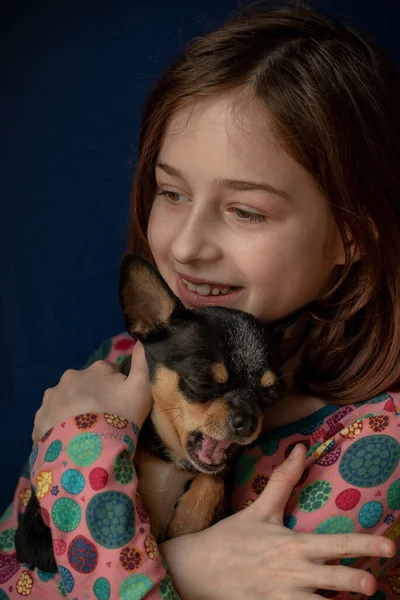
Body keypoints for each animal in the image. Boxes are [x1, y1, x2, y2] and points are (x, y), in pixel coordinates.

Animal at [15, 253, 282, 572]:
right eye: (202, 381)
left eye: (270, 395)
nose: (249, 421)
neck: (173, 460)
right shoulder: (36, 542)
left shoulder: (217, 477)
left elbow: (214, 479)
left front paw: (189, 519)